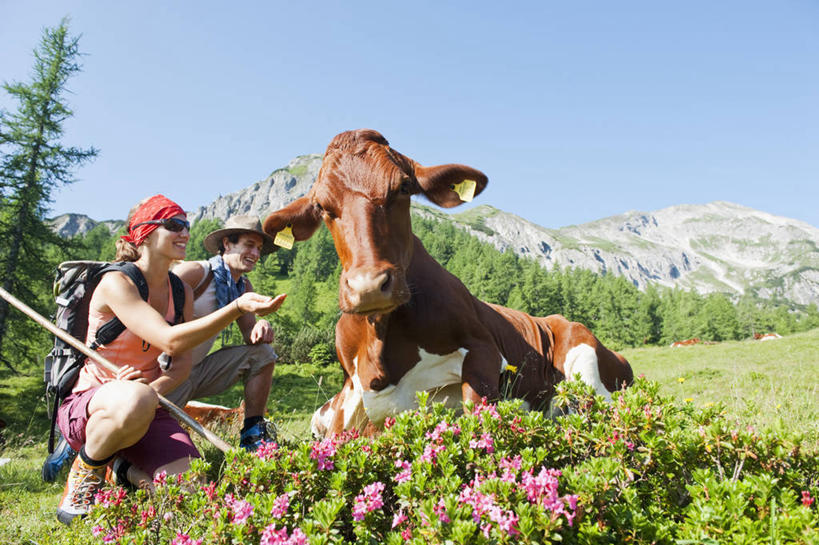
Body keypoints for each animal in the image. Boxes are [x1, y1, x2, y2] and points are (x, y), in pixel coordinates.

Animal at [262, 130, 636, 436]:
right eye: (322, 206)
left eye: (403, 187)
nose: (368, 285)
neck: (381, 344)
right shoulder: (348, 395)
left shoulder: (485, 351)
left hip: (585, 363)